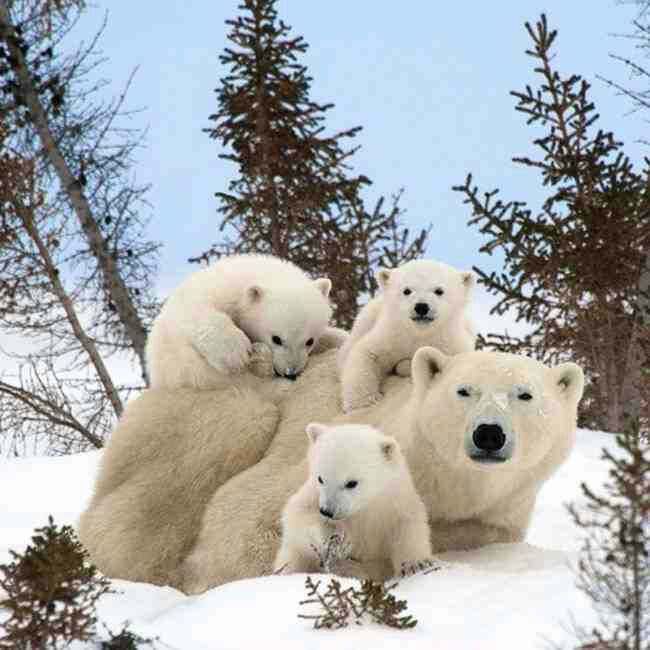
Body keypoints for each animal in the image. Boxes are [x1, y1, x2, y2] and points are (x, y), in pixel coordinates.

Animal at [143, 254, 344, 390]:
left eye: (310, 341)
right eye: (276, 339)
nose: (290, 373)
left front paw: (336, 337)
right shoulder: (213, 291)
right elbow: (196, 310)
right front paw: (235, 352)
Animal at [270, 420, 432, 576]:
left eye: (351, 483)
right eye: (320, 478)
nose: (327, 511)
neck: (363, 507)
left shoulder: (394, 502)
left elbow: (408, 525)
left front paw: (415, 564)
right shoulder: (312, 494)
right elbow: (297, 515)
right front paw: (330, 539)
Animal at [336, 258, 474, 410]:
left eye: (439, 290)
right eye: (407, 290)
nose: (421, 307)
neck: (419, 333)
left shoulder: (450, 343)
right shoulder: (391, 335)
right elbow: (367, 354)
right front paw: (364, 402)